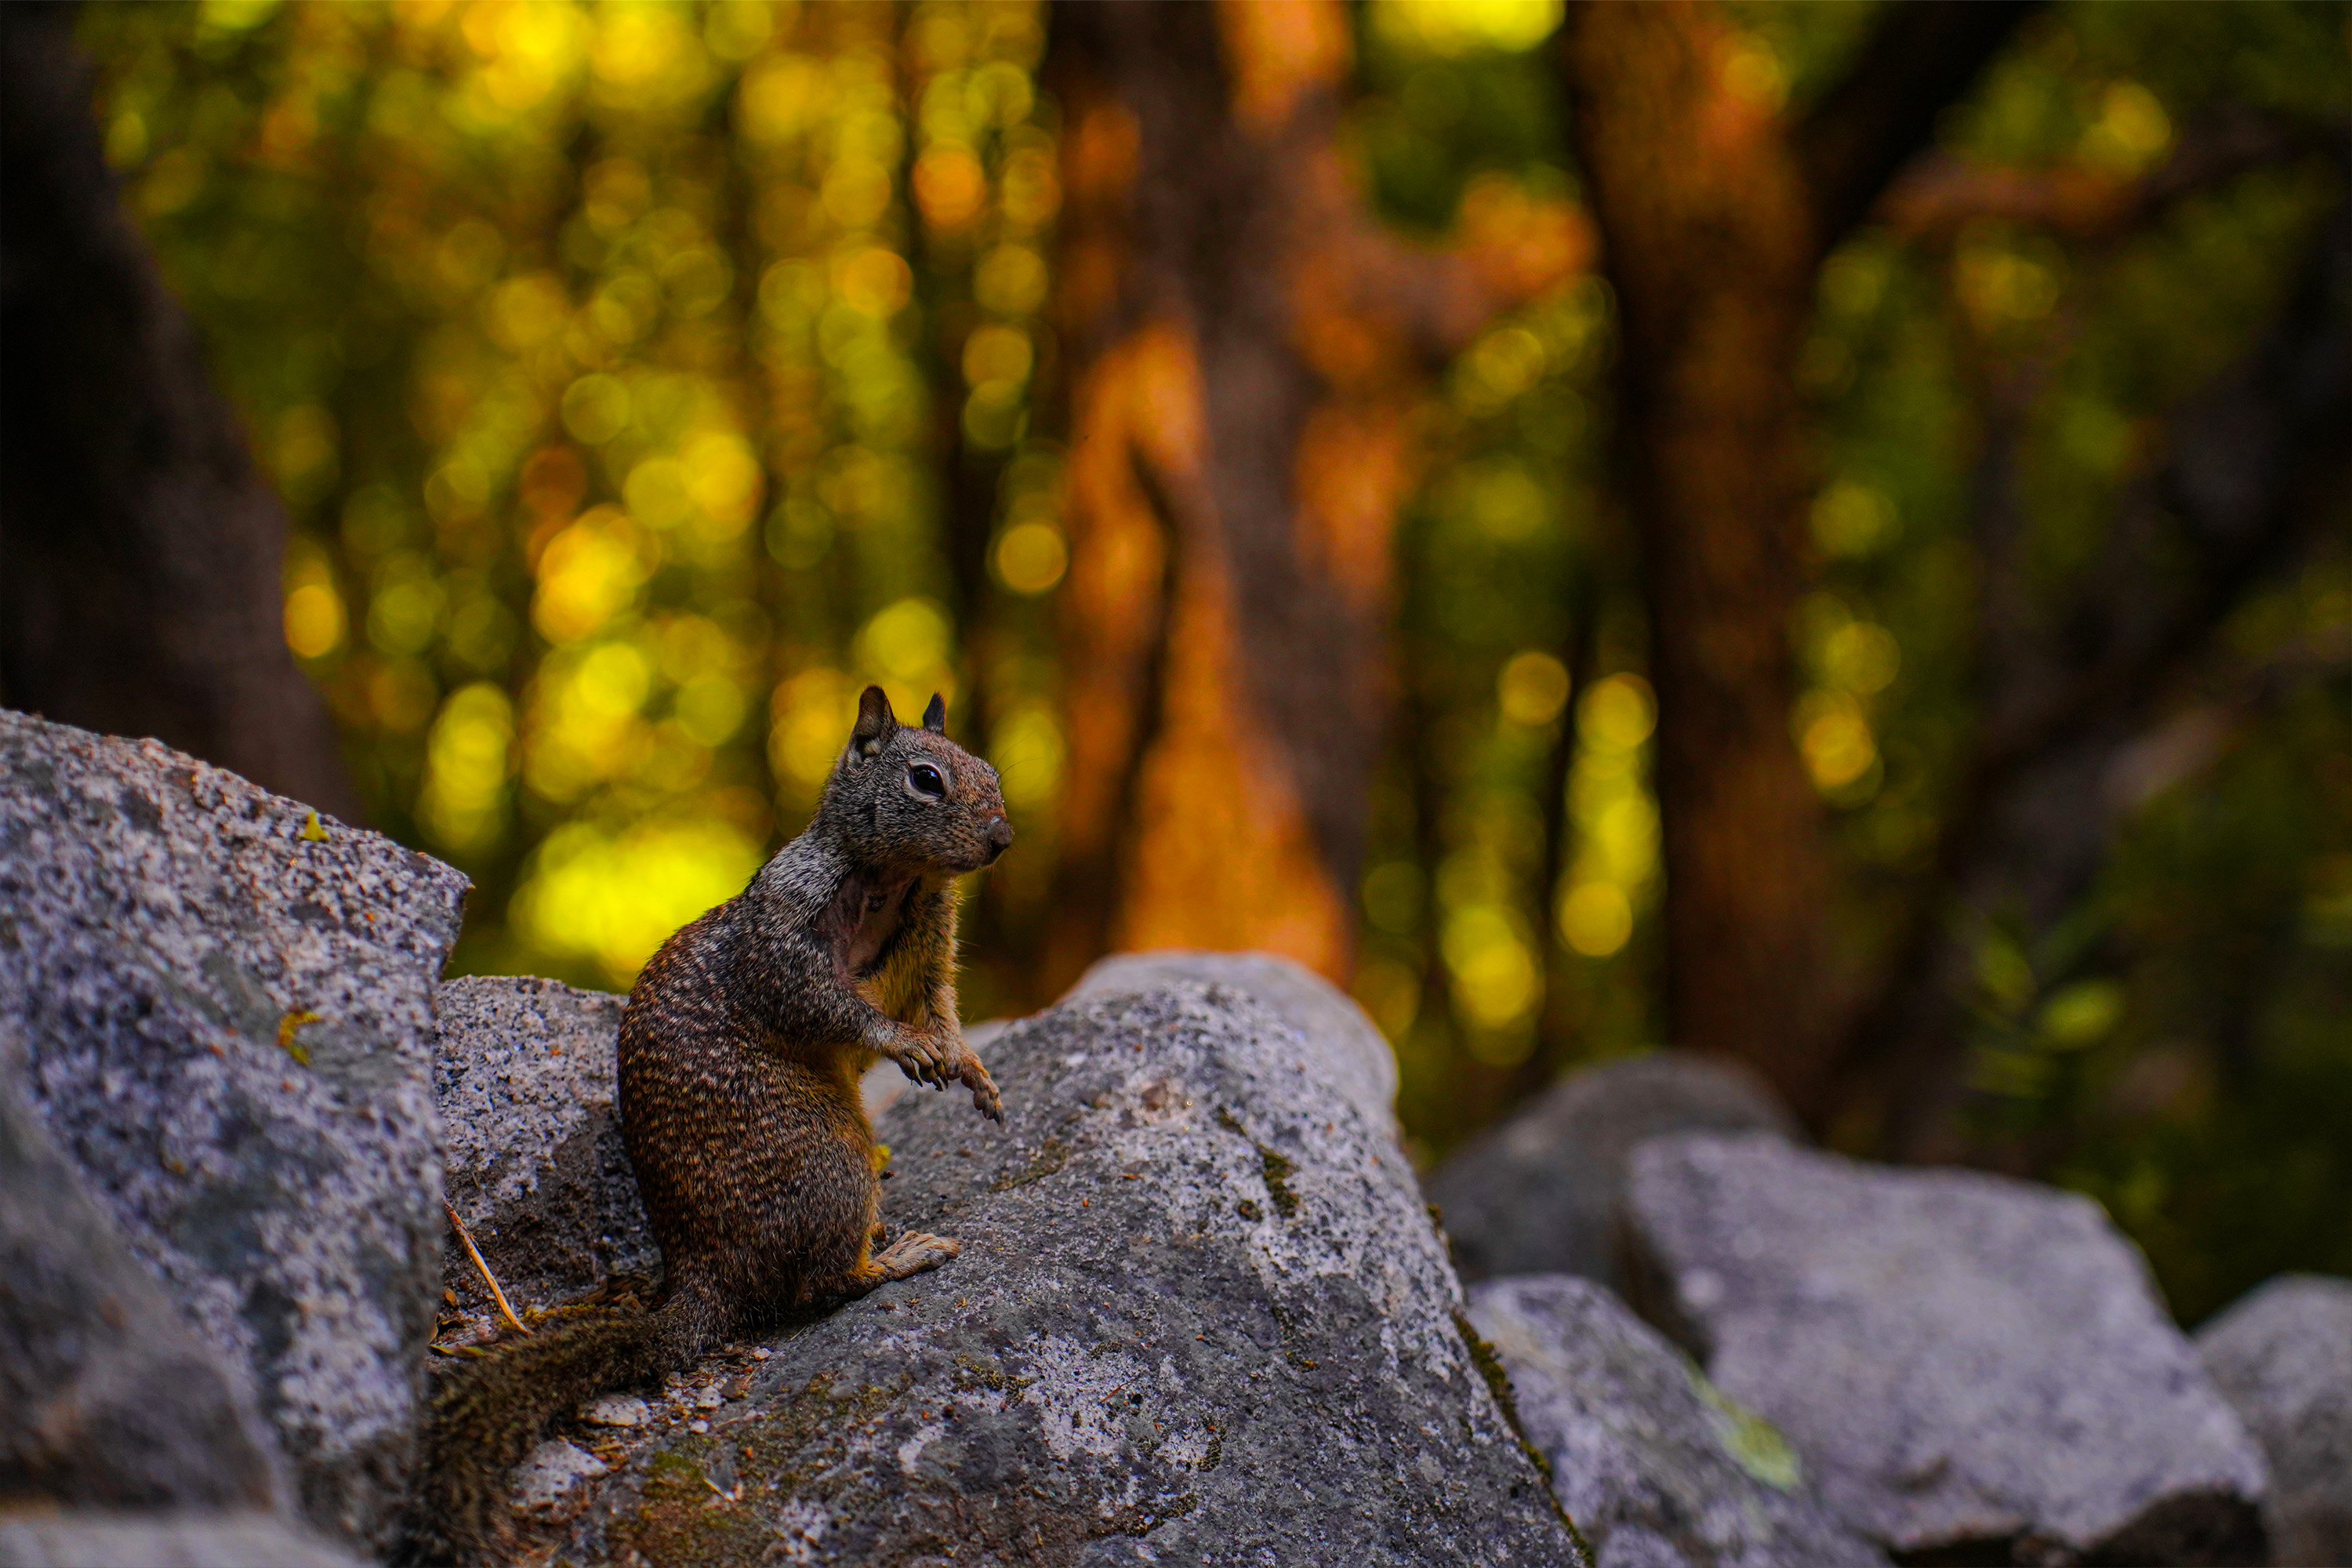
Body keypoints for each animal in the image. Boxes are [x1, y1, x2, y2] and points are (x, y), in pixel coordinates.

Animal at [403, 686, 1012, 1566]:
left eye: (990, 769)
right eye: (926, 778)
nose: (1002, 838)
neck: (896, 878)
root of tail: (702, 1269)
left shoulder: (930, 941)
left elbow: (943, 1008)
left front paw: (972, 1070)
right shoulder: (785, 942)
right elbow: (832, 1007)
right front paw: (902, 1044)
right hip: (830, 1157)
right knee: (817, 1285)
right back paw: (894, 1258)